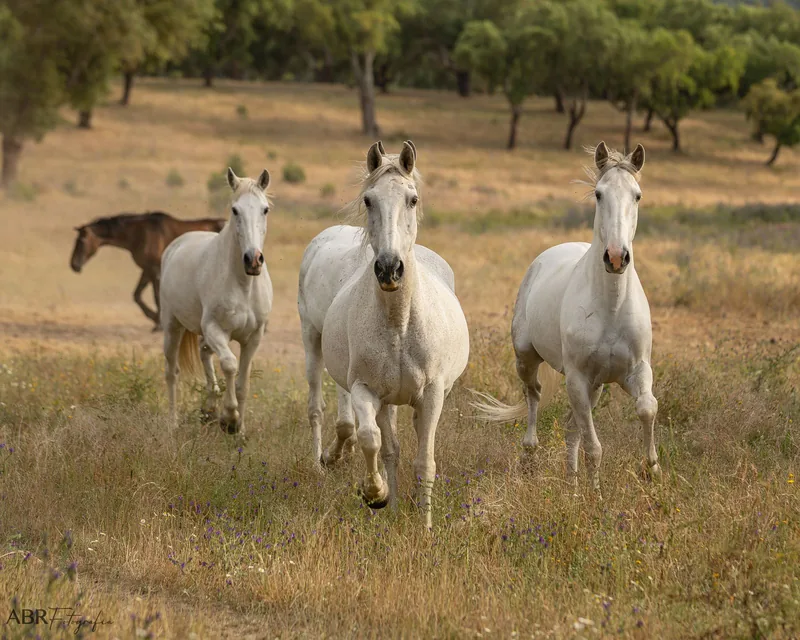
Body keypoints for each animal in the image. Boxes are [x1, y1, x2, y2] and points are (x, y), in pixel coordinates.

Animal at [70, 212, 225, 330]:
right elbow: (137, 295)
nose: (73, 265)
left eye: (81, 241)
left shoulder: (155, 271)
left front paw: (158, 323)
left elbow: (155, 296)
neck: (140, 234)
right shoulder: (147, 270)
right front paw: (154, 318)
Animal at [159, 168, 272, 437]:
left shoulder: (254, 337)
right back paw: (173, 422)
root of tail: (176, 245)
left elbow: (243, 382)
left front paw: (240, 430)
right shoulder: (215, 329)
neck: (243, 284)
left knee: (204, 355)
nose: (253, 260)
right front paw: (229, 418)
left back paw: (209, 408)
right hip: (172, 326)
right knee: (172, 372)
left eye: (264, 209)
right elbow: (230, 365)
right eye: (235, 210)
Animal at [298, 141, 470, 528]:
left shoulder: (432, 395)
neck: (399, 322)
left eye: (413, 199)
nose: (389, 269)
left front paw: (425, 527)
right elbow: (371, 439)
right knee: (347, 424)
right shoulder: (367, 390)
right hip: (314, 344)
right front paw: (376, 494)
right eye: (368, 200)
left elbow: (424, 461)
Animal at [472, 142, 661, 496]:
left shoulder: (636, 371)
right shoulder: (577, 379)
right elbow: (593, 445)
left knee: (571, 428)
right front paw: (596, 495)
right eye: (599, 194)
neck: (611, 307)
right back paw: (530, 457)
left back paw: (572, 483)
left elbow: (647, 408)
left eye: (638, 195)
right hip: (527, 359)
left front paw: (652, 472)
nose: (617, 258)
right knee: (533, 396)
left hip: (596, 385)